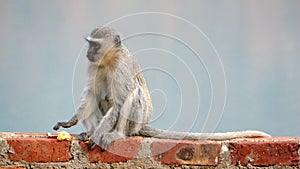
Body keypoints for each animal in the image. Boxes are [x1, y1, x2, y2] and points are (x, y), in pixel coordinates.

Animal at [52, 27, 270, 150]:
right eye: (90, 44)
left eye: (95, 45)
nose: (88, 52)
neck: (109, 61)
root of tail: (143, 124)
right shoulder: (94, 66)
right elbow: (91, 93)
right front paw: (71, 122)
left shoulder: (121, 67)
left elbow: (120, 102)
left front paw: (97, 135)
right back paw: (89, 131)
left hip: (135, 122)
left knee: (133, 93)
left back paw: (116, 134)